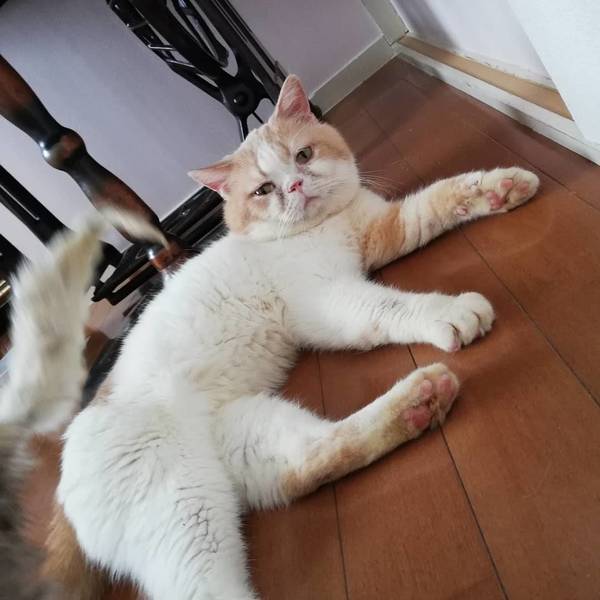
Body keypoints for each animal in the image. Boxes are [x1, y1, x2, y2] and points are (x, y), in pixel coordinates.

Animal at [11, 75, 538, 599]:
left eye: (303, 156)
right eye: (264, 189)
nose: (295, 185)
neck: (320, 228)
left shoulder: (380, 231)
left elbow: (438, 200)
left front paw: (503, 186)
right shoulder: (327, 302)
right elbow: (390, 307)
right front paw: (450, 311)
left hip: (248, 438)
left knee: (311, 461)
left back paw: (420, 401)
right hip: (185, 510)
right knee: (206, 589)